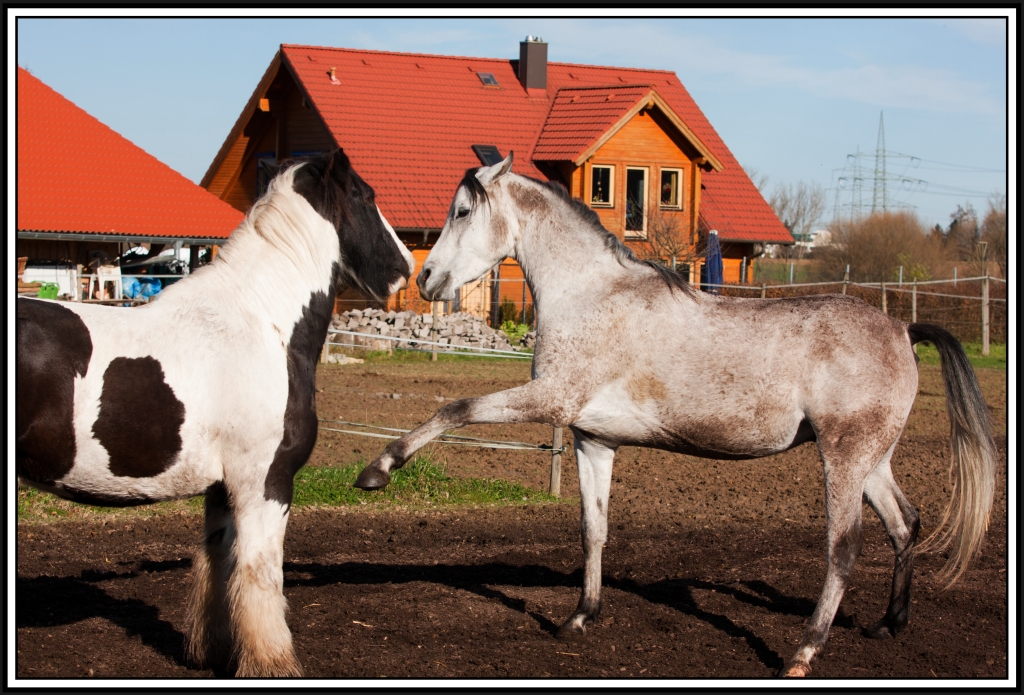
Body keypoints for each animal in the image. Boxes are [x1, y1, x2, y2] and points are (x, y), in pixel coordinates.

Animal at [18, 149, 413, 675]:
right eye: (365, 195)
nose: (406, 267)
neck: (262, 322)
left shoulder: (224, 490)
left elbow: (219, 565)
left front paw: (216, 652)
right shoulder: (265, 482)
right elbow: (260, 573)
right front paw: (273, 663)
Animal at [356, 154, 995, 675]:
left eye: (463, 210)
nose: (425, 278)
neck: (592, 295)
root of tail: (902, 328)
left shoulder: (550, 400)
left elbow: (455, 408)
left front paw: (378, 470)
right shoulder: (591, 439)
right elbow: (593, 528)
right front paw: (580, 617)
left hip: (843, 458)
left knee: (844, 549)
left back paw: (802, 652)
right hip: (872, 461)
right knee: (905, 524)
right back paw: (889, 625)